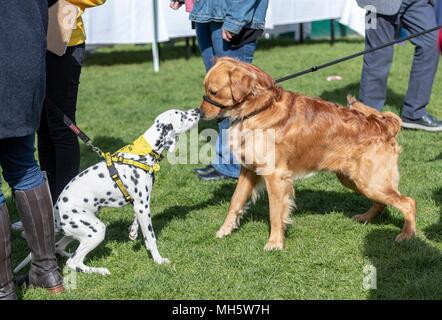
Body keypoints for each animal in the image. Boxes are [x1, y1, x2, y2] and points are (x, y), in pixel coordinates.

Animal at [14, 107, 199, 276]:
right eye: (182, 115)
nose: (197, 110)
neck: (142, 152)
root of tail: (54, 214)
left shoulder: (139, 205)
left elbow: (137, 220)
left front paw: (133, 232)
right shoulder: (142, 205)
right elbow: (151, 238)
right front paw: (158, 260)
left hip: (78, 232)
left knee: (60, 248)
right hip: (96, 230)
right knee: (73, 262)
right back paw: (99, 270)